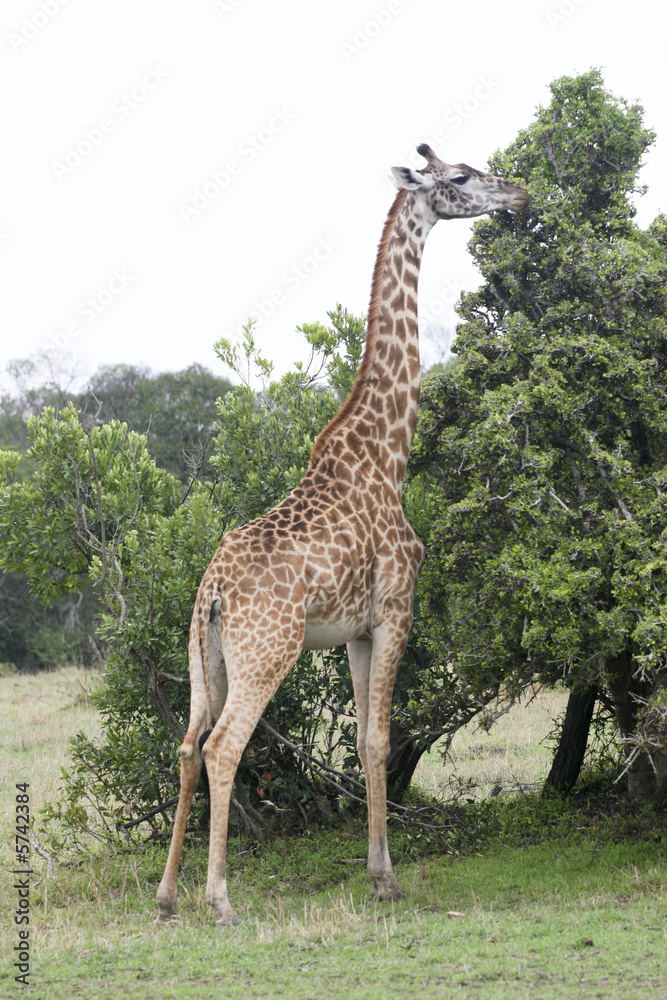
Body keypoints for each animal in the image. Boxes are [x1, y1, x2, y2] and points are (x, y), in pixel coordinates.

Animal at [156, 144, 528, 926]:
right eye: (458, 178)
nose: (516, 194)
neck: (388, 451)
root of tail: (212, 590)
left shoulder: (354, 629)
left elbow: (362, 740)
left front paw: (375, 869)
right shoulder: (395, 608)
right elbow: (384, 738)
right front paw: (387, 880)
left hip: (206, 654)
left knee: (187, 744)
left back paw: (169, 896)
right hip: (268, 651)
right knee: (225, 747)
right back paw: (220, 899)